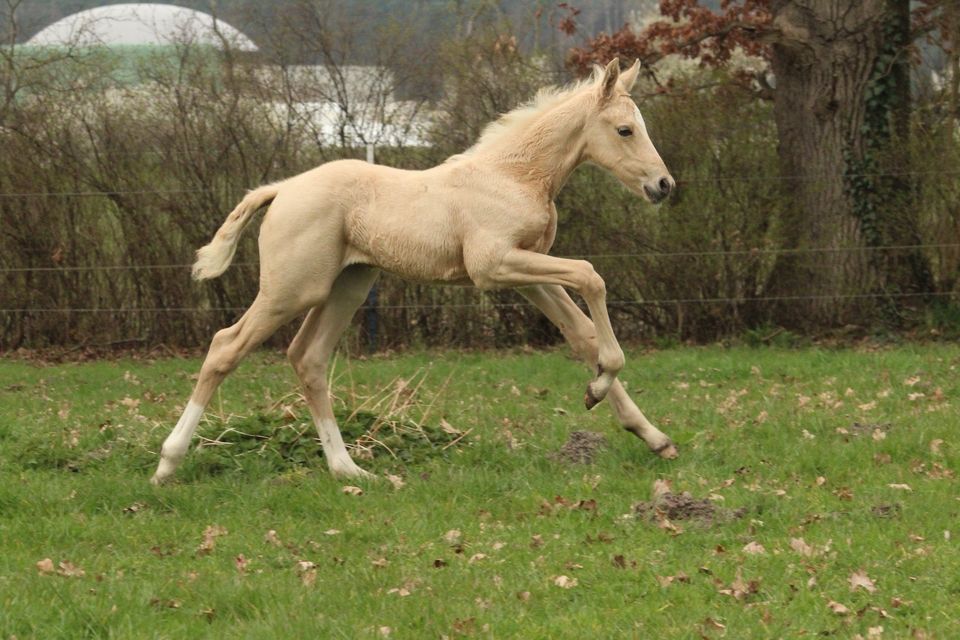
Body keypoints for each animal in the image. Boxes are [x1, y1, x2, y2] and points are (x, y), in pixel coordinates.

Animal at [152, 58, 676, 484]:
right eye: (625, 130)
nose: (663, 185)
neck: (514, 175)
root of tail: (281, 189)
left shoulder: (532, 274)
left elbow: (583, 334)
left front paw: (648, 433)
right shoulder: (494, 266)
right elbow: (591, 276)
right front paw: (599, 390)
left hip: (347, 286)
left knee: (308, 358)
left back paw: (349, 470)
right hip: (292, 290)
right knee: (226, 346)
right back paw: (168, 463)